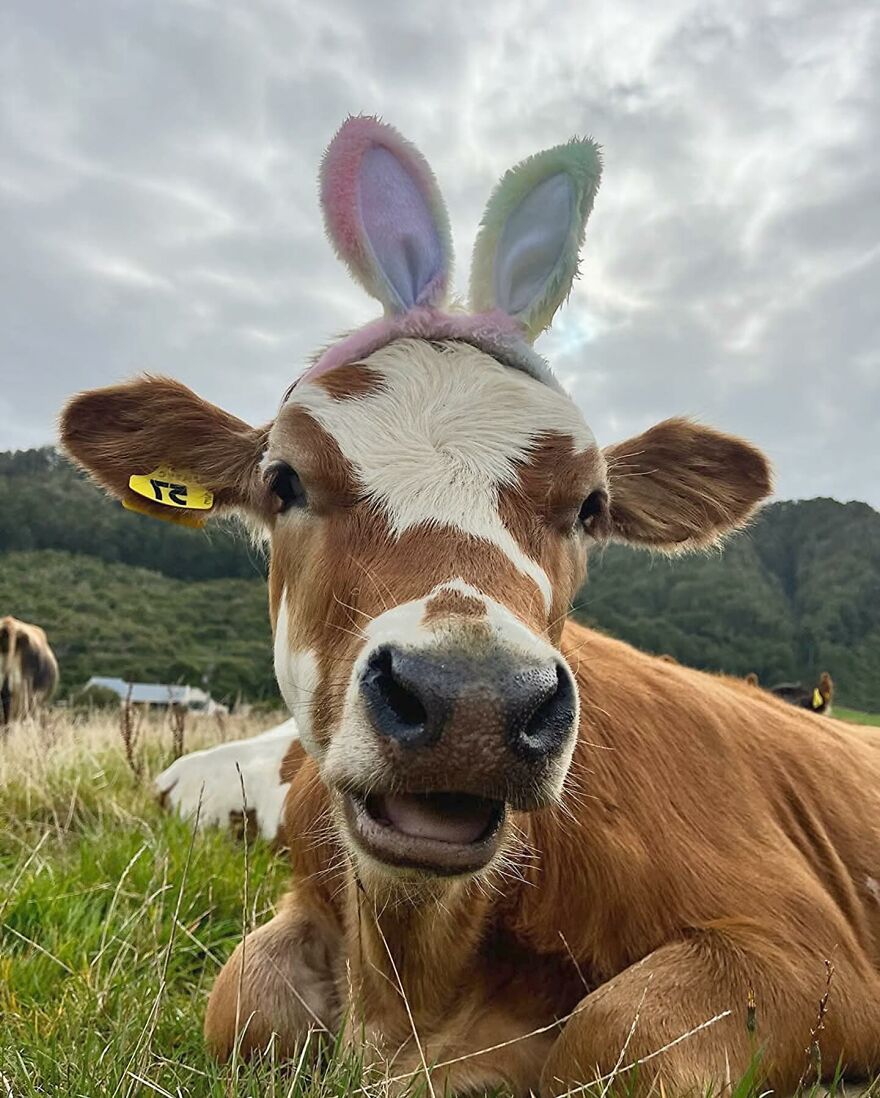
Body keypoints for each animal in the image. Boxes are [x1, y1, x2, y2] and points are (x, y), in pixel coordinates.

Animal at [60, 117, 880, 1097]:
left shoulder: (810, 953)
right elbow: (244, 1005)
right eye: (283, 480)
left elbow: (617, 1037)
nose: (474, 700)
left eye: (591, 506)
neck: (418, 986)